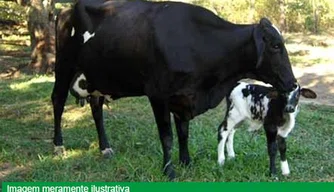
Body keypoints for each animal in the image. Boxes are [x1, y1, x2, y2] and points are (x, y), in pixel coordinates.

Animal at [52, 0, 298, 179]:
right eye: (275, 45)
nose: (293, 83)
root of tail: (66, 10)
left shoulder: (184, 97)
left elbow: (183, 133)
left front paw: (186, 162)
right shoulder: (158, 94)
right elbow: (167, 136)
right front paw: (169, 171)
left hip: (96, 79)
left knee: (96, 107)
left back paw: (105, 148)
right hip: (64, 66)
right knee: (57, 101)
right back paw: (58, 146)